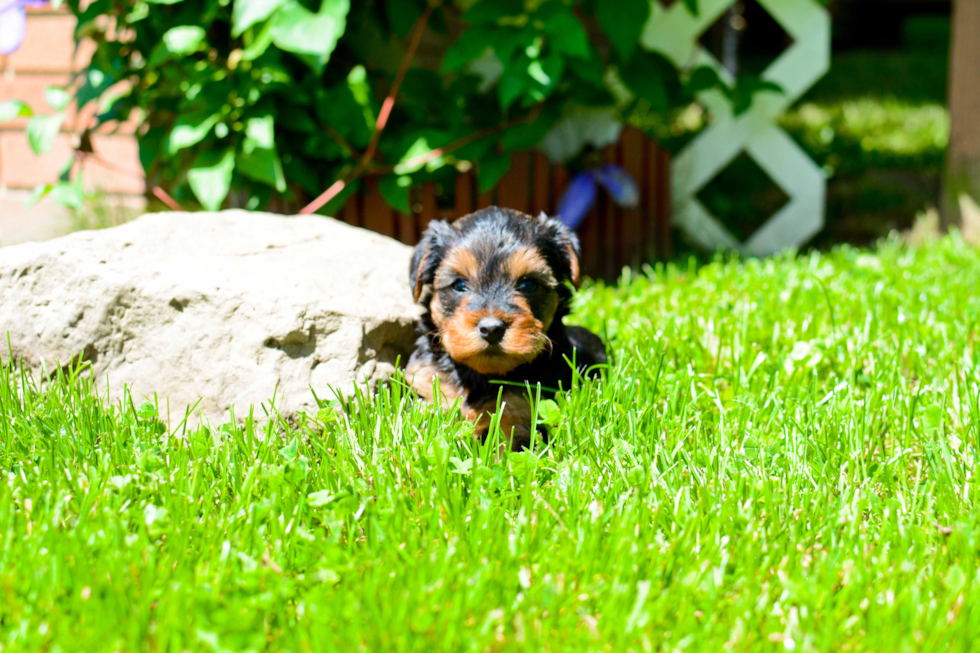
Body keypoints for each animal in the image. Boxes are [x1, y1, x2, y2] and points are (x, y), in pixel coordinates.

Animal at [406, 206, 604, 450]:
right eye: (459, 285)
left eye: (528, 284)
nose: (491, 329)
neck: (483, 375)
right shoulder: (428, 388)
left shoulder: (520, 412)